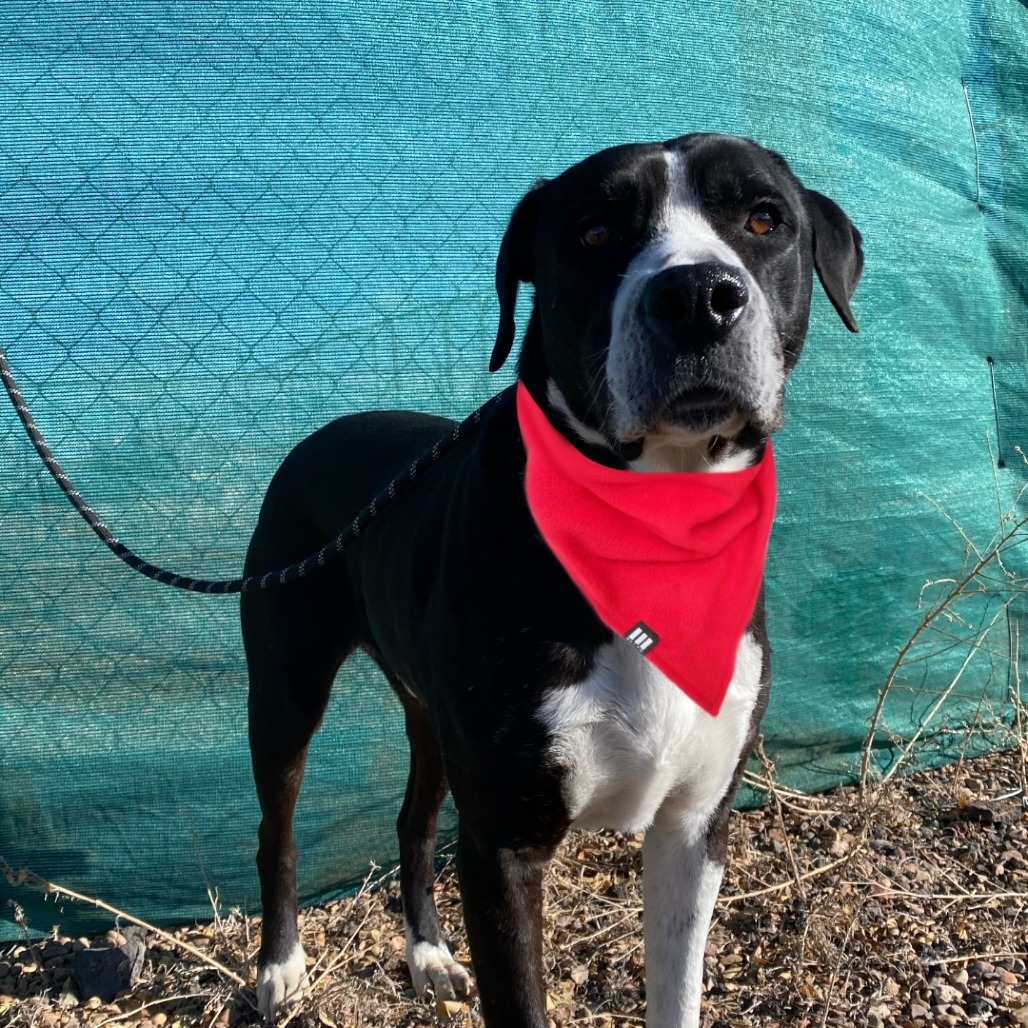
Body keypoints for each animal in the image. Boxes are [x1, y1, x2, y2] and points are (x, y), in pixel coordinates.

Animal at [244, 136, 863, 1028]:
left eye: (762, 219)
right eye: (594, 233)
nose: (697, 299)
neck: (654, 533)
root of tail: (322, 432)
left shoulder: (695, 825)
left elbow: (678, 992)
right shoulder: (503, 844)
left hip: (427, 709)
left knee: (414, 821)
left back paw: (428, 955)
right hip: (286, 688)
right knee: (278, 830)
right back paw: (280, 965)